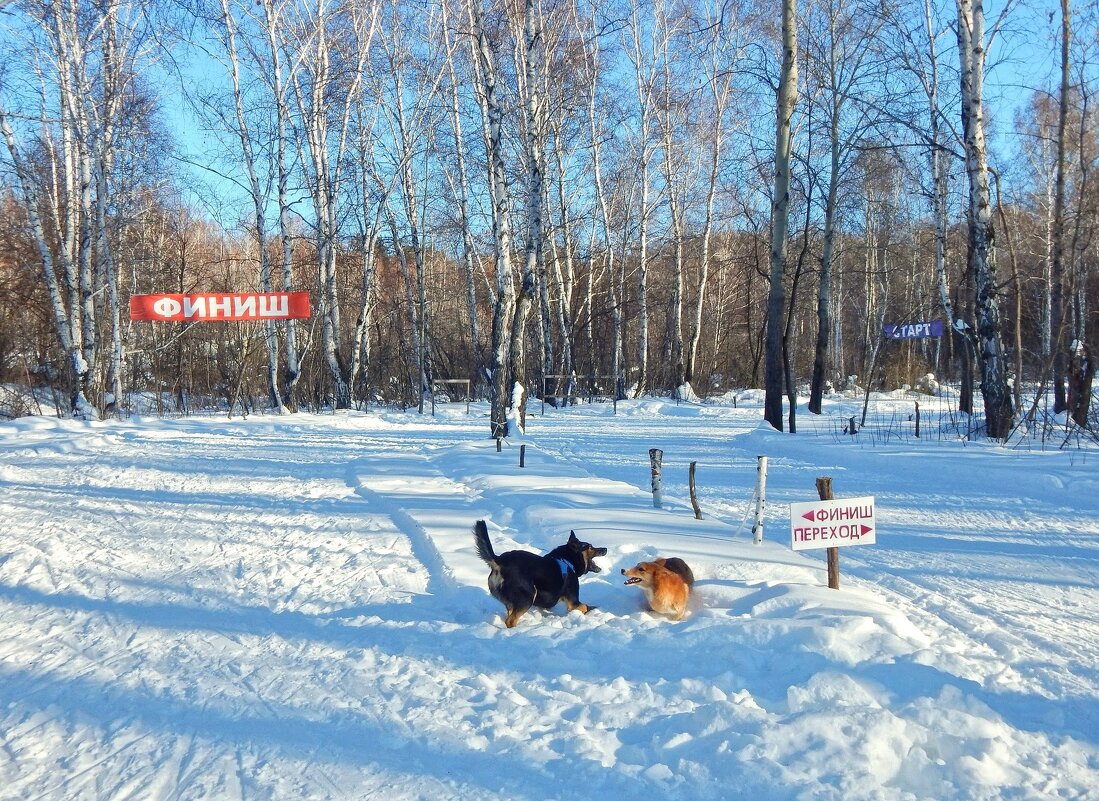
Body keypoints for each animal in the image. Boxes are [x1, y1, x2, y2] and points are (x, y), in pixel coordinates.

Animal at [472, 518, 611, 624]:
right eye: (590, 547)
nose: (606, 548)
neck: (567, 560)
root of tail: (499, 561)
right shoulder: (573, 602)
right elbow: (584, 606)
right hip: (528, 596)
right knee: (510, 621)